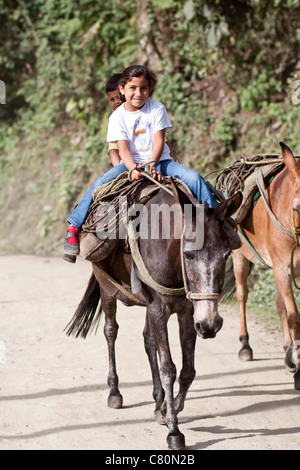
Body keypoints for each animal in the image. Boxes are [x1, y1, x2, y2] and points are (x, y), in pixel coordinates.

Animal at [66, 178, 241, 450]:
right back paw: (115, 392)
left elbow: (187, 369)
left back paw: (159, 402)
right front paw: (174, 430)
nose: (210, 325)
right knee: (111, 332)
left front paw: (171, 408)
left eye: (226, 255)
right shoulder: (159, 307)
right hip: (107, 290)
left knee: (148, 340)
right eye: (188, 254)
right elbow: (168, 367)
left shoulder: (187, 311)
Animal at [232, 142, 300, 390]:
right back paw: (245, 346)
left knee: (279, 303)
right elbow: (294, 317)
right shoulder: (282, 268)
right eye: (298, 208)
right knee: (242, 295)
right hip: (239, 258)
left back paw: (288, 352)